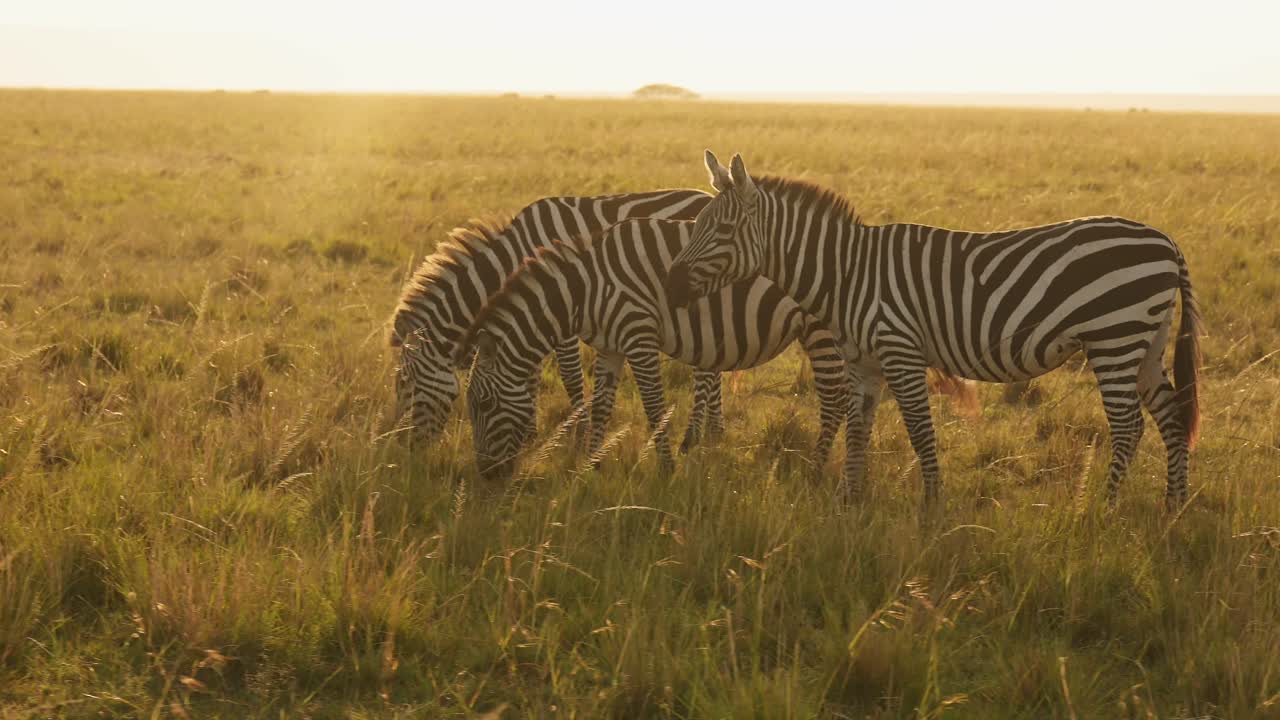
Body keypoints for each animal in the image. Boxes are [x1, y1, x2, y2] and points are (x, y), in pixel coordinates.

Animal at [389, 189, 725, 450]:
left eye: (404, 382)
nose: (403, 447)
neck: (513, 259)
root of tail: (707, 195)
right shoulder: (527, 309)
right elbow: (531, 373)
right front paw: (529, 433)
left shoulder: (559, 311)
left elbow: (570, 376)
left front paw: (578, 435)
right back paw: (715, 430)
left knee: (706, 370)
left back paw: (695, 435)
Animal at [666, 151, 1201, 510]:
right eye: (698, 224)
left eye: (723, 230)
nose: (671, 284)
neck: (848, 272)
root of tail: (1167, 240)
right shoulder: (864, 363)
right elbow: (857, 432)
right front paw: (849, 502)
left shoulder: (901, 350)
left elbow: (921, 433)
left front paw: (931, 508)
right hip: (1147, 342)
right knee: (1172, 419)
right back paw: (1172, 509)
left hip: (1115, 337)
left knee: (1128, 426)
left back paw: (1101, 511)